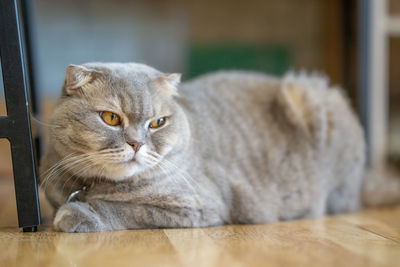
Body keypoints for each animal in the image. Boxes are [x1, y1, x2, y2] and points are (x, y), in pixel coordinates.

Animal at [39, 62, 368, 232]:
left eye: (157, 122)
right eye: (110, 118)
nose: (136, 143)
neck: (92, 185)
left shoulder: (195, 205)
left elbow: (124, 208)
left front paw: (76, 214)